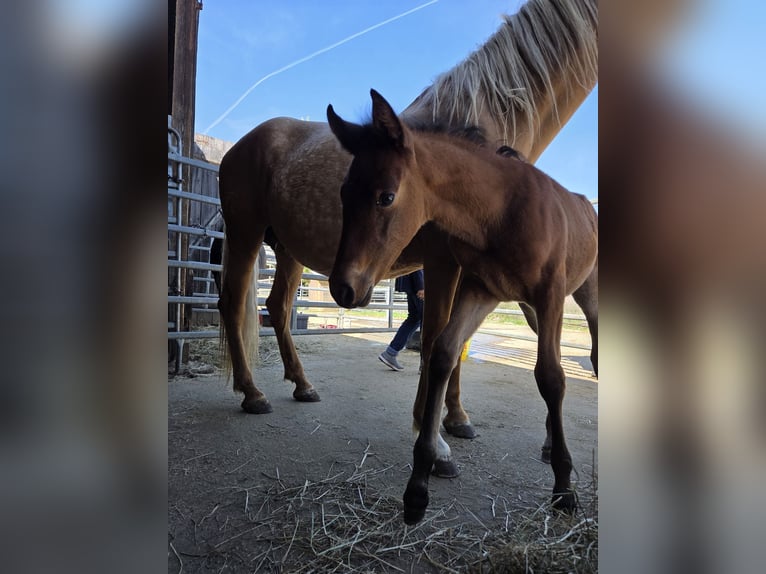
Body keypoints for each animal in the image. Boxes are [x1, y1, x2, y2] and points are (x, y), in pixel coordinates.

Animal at [216, 0, 598, 470]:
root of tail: (242, 145)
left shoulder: (472, 272)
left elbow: (455, 341)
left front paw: (455, 419)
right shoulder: (444, 263)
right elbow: (434, 340)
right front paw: (430, 434)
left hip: (288, 251)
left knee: (278, 307)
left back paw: (302, 385)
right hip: (245, 233)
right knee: (233, 303)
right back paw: (253, 393)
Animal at [326, 90, 598, 524]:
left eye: (386, 196)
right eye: (343, 193)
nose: (343, 288)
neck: (502, 211)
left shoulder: (550, 294)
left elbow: (551, 377)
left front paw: (564, 488)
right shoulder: (480, 290)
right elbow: (443, 353)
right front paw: (419, 485)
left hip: (584, 295)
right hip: (532, 312)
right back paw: (546, 443)